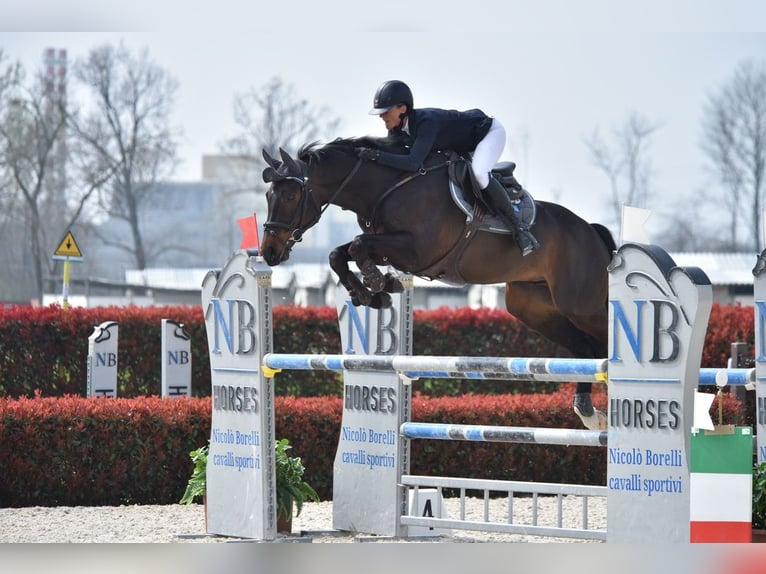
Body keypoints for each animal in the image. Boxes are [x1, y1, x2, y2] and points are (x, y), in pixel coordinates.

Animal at [260, 137, 616, 430]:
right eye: (267, 194)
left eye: (290, 195)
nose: (269, 252)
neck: (386, 187)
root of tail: (591, 231)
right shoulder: (389, 246)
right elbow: (340, 253)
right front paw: (371, 294)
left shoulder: (416, 251)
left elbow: (359, 246)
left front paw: (379, 284)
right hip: (533, 308)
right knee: (585, 350)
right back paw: (587, 411)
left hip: (581, 304)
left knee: (601, 341)